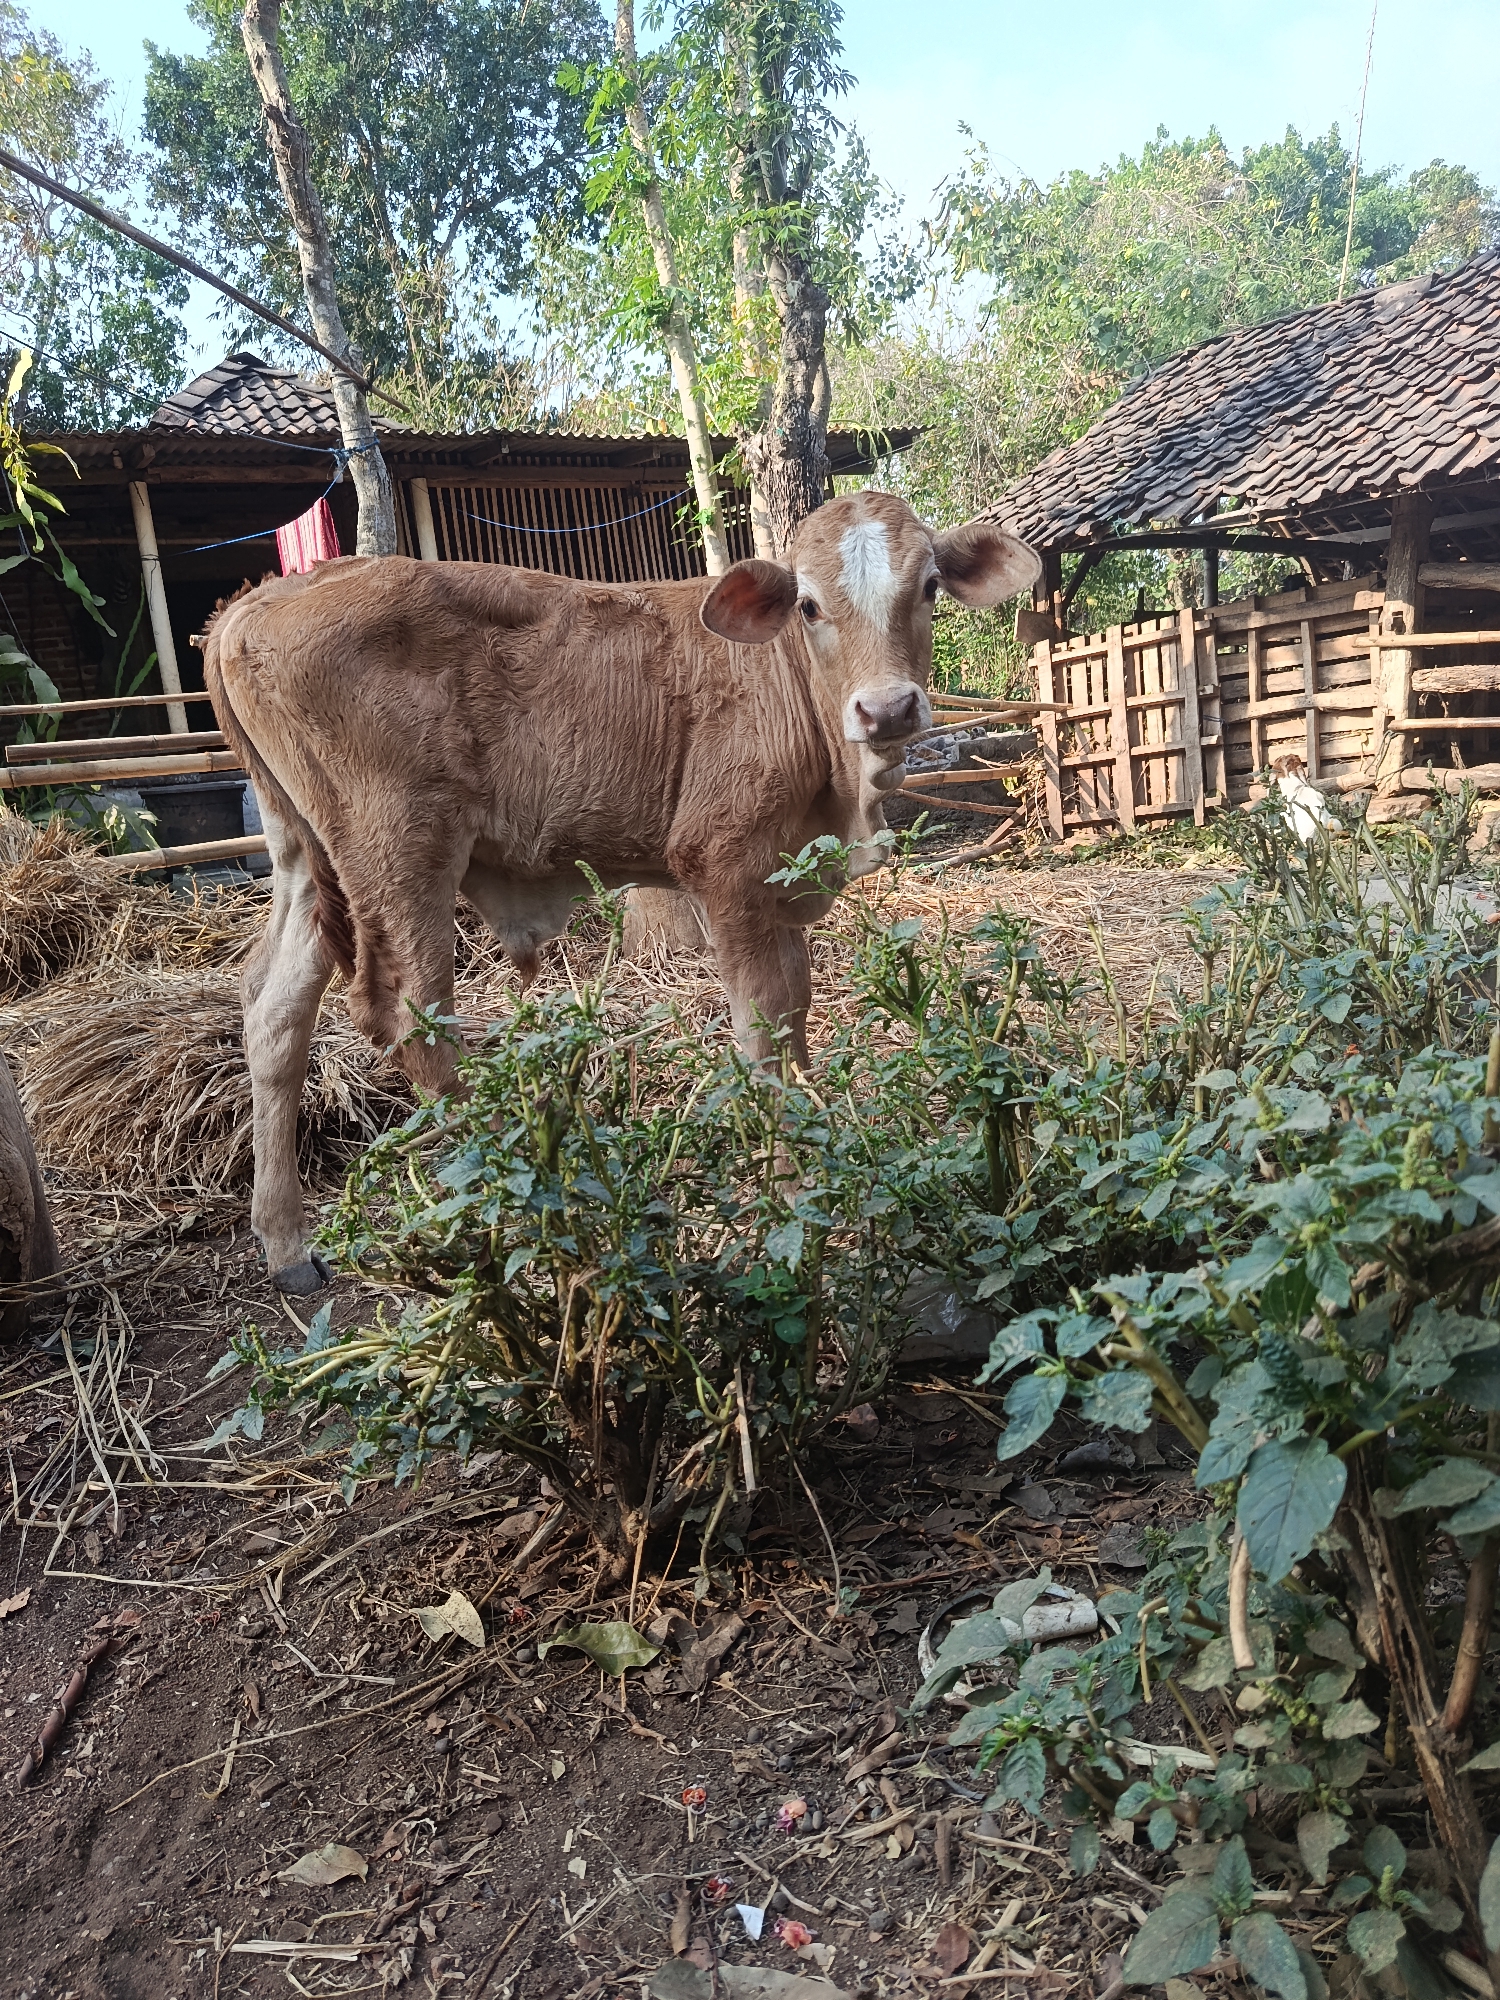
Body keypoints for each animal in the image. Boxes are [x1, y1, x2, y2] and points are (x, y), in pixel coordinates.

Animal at [204, 489, 1040, 1294]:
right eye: (809, 605)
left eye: (928, 587)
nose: (888, 708)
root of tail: (270, 594)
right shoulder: (724, 864)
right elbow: (762, 1019)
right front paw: (790, 1180)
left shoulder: (780, 879)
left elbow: (796, 1008)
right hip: (399, 846)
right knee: (410, 1014)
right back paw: (525, 1205)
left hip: (306, 852)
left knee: (275, 1006)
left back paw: (287, 1245)